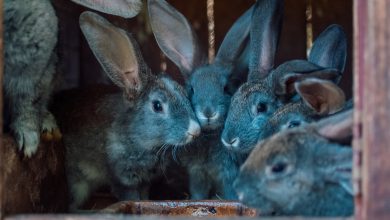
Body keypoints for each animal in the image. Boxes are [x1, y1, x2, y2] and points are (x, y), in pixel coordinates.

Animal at [62, 11, 201, 210]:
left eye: (184, 93)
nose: (195, 130)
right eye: (157, 106)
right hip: (76, 182)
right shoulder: (123, 178)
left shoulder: (145, 182)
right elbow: (130, 196)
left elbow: (143, 197)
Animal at [148, 0, 254, 199]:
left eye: (226, 88)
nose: (208, 112)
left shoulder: (228, 172)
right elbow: (198, 192)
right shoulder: (197, 173)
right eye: (191, 89)